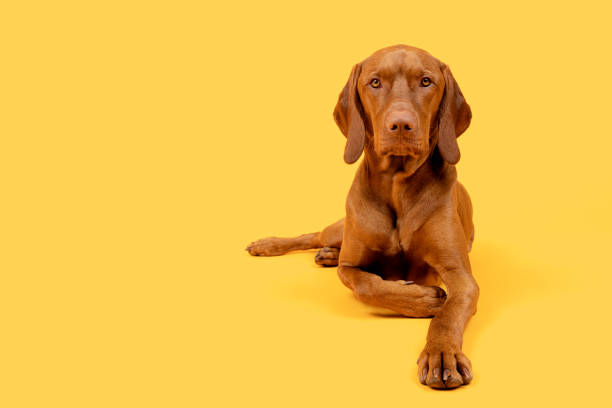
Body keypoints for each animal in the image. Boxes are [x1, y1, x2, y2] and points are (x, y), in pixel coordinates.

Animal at [246, 44, 480, 388]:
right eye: (375, 82)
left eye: (426, 81)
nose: (401, 125)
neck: (397, 186)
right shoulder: (351, 266)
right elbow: (368, 285)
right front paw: (423, 299)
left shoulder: (461, 276)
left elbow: (447, 316)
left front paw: (441, 353)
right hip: (340, 226)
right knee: (314, 236)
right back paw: (269, 244)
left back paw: (325, 255)